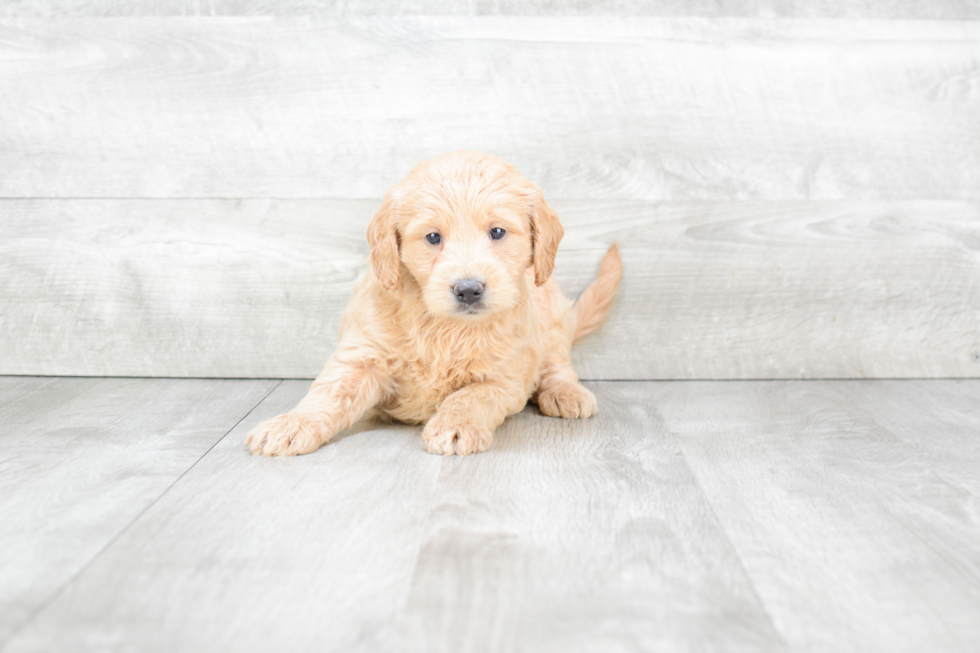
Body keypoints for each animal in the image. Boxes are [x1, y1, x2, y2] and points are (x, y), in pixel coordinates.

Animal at [245, 150, 620, 456]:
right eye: (433, 237)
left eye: (497, 232)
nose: (468, 289)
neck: (444, 326)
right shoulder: (362, 355)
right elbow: (329, 393)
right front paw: (292, 424)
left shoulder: (505, 376)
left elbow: (470, 396)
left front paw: (455, 426)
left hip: (552, 312)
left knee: (558, 362)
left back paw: (566, 392)